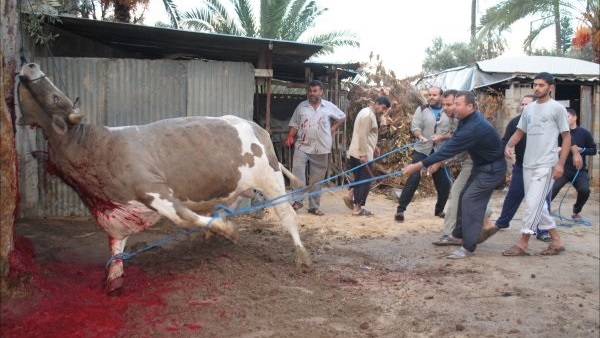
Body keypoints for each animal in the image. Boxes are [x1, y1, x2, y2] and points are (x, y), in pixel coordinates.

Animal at [16, 62, 312, 294]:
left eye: (56, 97)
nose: (28, 65)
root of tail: (254, 125)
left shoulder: (156, 190)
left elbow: (185, 218)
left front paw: (227, 230)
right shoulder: (116, 212)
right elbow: (116, 246)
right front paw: (114, 277)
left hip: (271, 179)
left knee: (287, 215)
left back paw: (301, 255)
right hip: (237, 184)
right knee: (230, 204)